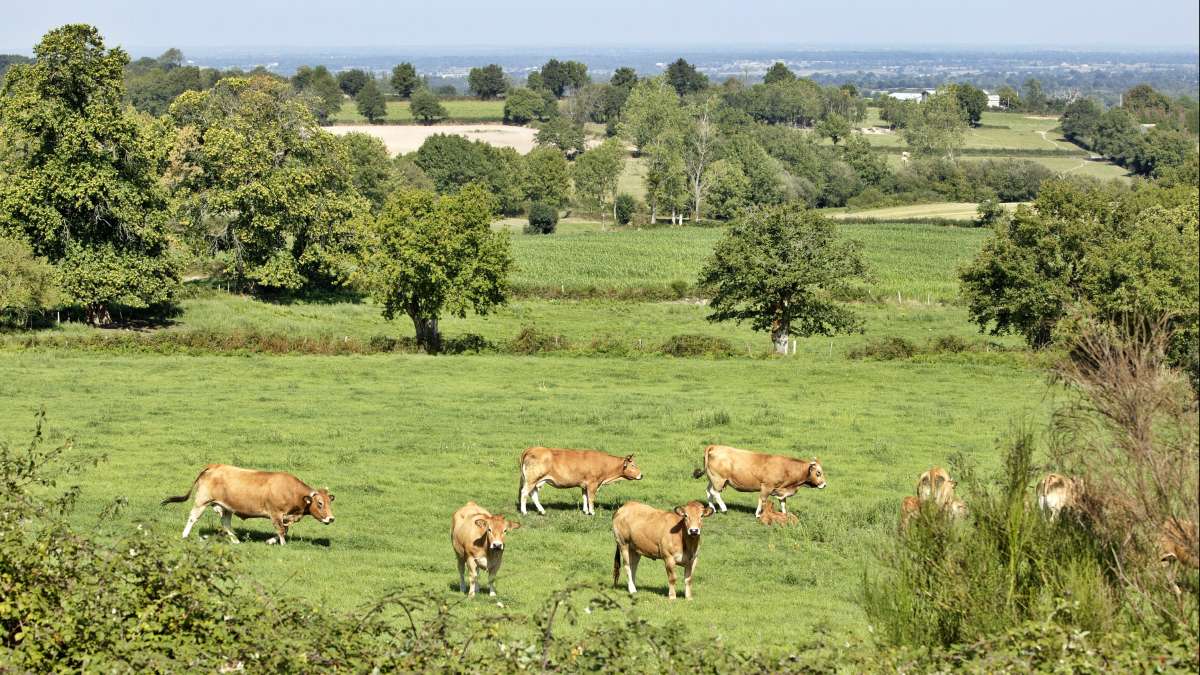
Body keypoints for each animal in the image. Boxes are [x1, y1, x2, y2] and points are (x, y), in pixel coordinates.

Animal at [161, 464, 334, 545]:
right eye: (320, 503)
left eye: (329, 502)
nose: (331, 519)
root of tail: (215, 466)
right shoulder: (276, 513)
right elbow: (281, 530)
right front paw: (283, 544)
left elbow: (284, 529)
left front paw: (270, 541)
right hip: (202, 500)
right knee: (193, 518)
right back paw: (185, 535)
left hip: (227, 507)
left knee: (225, 523)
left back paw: (236, 540)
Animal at [692, 444, 825, 517]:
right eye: (818, 473)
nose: (824, 484)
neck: (786, 467)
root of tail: (714, 446)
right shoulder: (766, 487)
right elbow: (762, 500)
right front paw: (758, 514)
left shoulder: (781, 490)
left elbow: (783, 503)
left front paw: (784, 515)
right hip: (719, 479)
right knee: (715, 492)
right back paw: (724, 509)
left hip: (713, 479)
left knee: (709, 491)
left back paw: (712, 509)